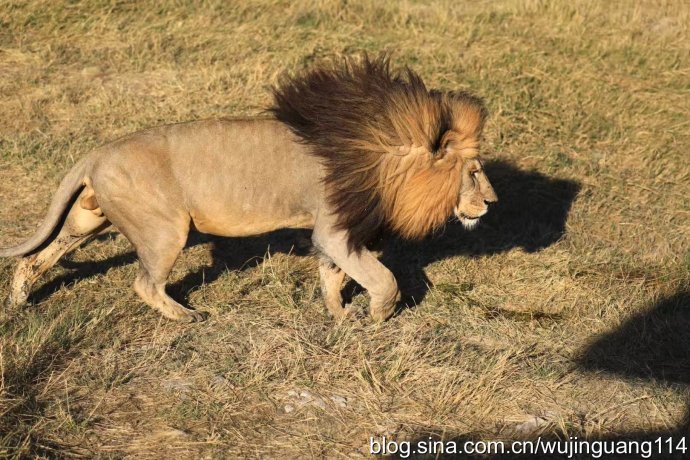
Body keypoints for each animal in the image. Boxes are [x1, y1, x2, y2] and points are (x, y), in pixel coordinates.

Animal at [0, 56, 494, 324]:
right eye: (473, 172)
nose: (492, 203)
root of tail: (95, 154)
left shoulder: (335, 232)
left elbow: (333, 276)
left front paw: (339, 315)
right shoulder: (336, 229)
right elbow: (383, 278)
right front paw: (376, 316)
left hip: (88, 218)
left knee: (36, 258)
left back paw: (19, 300)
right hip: (165, 229)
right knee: (143, 283)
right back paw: (188, 316)